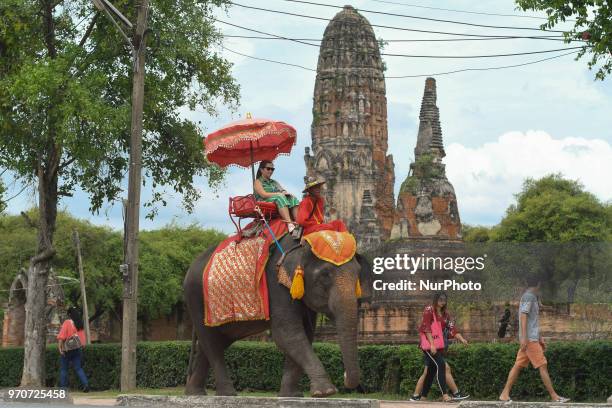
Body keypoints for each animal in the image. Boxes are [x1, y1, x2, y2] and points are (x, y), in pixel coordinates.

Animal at [183, 234, 372, 396]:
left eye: (357, 274)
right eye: (325, 275)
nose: (345, 375)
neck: (301, 245)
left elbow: (305, 333)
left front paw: (292, 396)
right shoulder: (276, 284)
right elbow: (287, 334)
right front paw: (325, 392)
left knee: (213, 342)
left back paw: (195, 393)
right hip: (196, 299)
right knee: (211, 342)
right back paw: (227, 394)